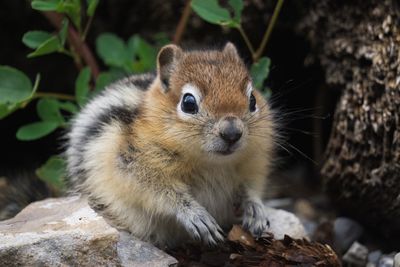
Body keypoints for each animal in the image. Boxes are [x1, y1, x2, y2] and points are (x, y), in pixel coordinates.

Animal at [67, 42, 276, 249]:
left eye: (252, 100)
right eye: (188, 103)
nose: (232, 133)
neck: (213, 163)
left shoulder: (253, 163)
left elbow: (250, 187)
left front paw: (256, 210)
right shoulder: (130, 163)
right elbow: (160, 192)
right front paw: (195, 216)